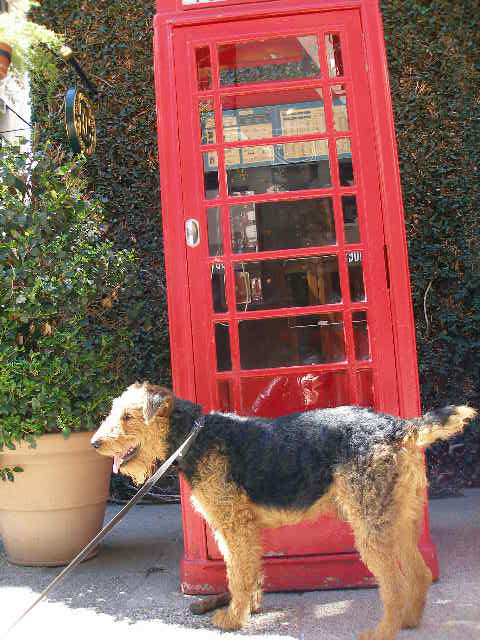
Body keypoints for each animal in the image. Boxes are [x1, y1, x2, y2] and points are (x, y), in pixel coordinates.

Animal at [91, 382, 476, 636]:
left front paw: (232, 619)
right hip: (398, 519)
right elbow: (247, 572)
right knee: (419, 573)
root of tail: (398, 427)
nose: (95, 443)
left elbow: (237, 575)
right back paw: (410, 621)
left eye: (128, 416)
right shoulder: (240, 528)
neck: (193, 436)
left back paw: (381, 632)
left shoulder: (234, 525)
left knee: (394, 585)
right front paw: (249, 608)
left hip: (371, 526)